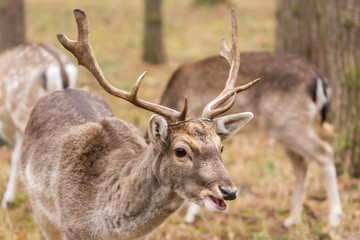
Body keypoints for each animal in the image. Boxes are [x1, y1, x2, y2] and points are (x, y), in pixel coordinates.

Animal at [161, 45, 344, 227]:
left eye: (179, 151)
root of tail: (319, 77)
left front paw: (191, 215)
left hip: (291, 123)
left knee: (325, 152)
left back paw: (334, 218)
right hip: (288, 128)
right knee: (302, 164)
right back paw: (293, 219)